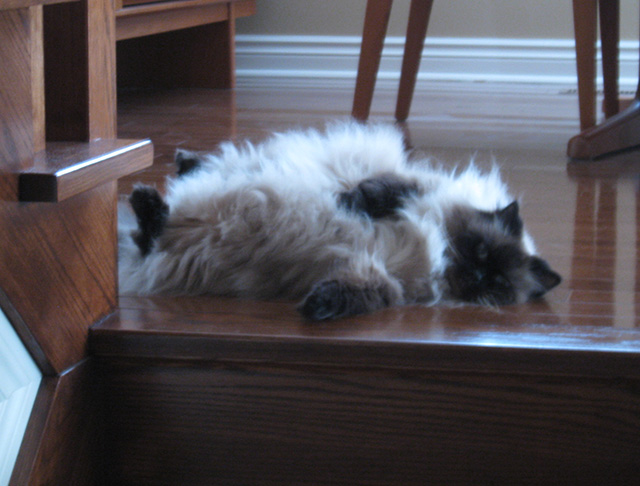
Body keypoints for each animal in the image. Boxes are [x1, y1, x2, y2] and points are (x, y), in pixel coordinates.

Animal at [120, 120, 560, 318]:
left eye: (499, 283)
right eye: (481, 250)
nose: (479, 275)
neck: (438, 259)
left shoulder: (383, 278)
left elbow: (359, 293)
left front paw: (313, 309)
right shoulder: (406, 185)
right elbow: (378, 192)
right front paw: (348, 205)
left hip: (182, 245)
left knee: (150, 233)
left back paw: (147, 200)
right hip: (232, 178)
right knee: (201, 173)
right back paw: (164, 176)